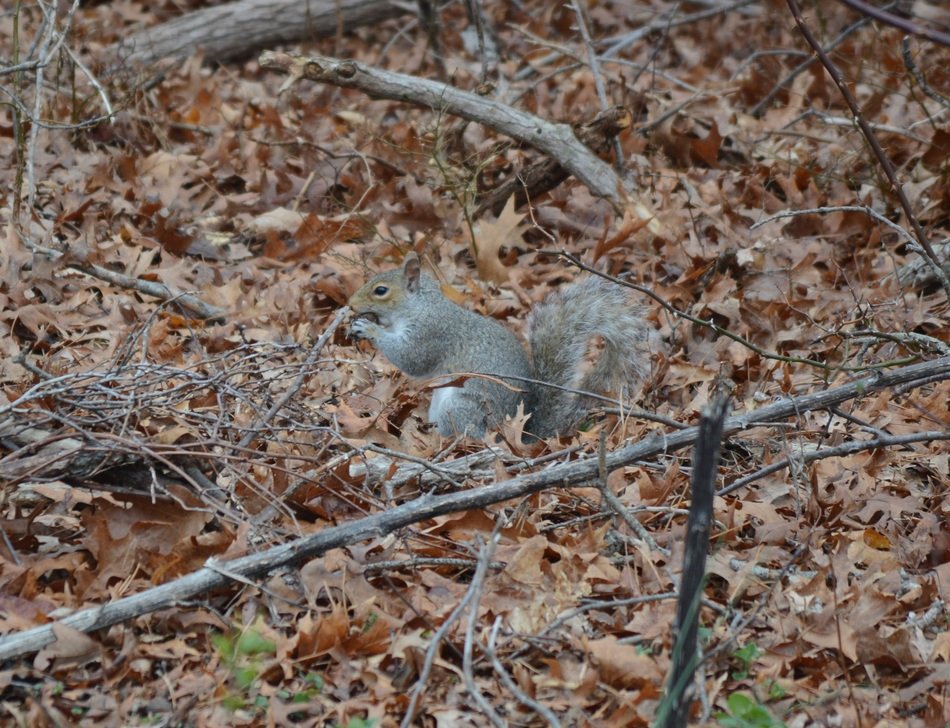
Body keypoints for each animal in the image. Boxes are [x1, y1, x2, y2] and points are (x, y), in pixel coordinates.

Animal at [347, 252, 652, 439]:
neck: (420, 305)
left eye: (381, 290)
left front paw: (369, 329)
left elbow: (411, 359)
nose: (350, 304)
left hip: (462, 406)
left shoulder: (431, 332)